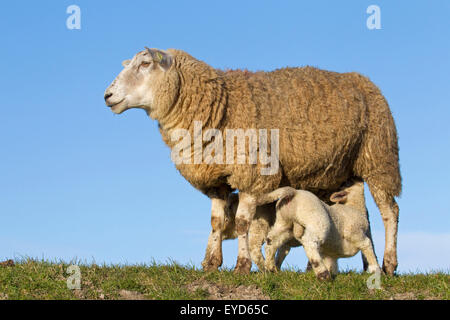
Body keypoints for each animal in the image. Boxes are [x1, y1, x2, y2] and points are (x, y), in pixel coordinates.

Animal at [104, 47, 400, 276]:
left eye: (145, 63)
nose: (107, 95)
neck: (221, 104)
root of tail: (364, 79)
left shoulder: (252, 173)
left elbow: (242, 222)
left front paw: (242, 265)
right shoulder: (216, 179)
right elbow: (217, 222)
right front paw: (212, 263)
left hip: (380, 158)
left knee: (389, 212)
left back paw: (388, 264)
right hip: (344, 171)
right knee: (362, 214)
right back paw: (363, 263)